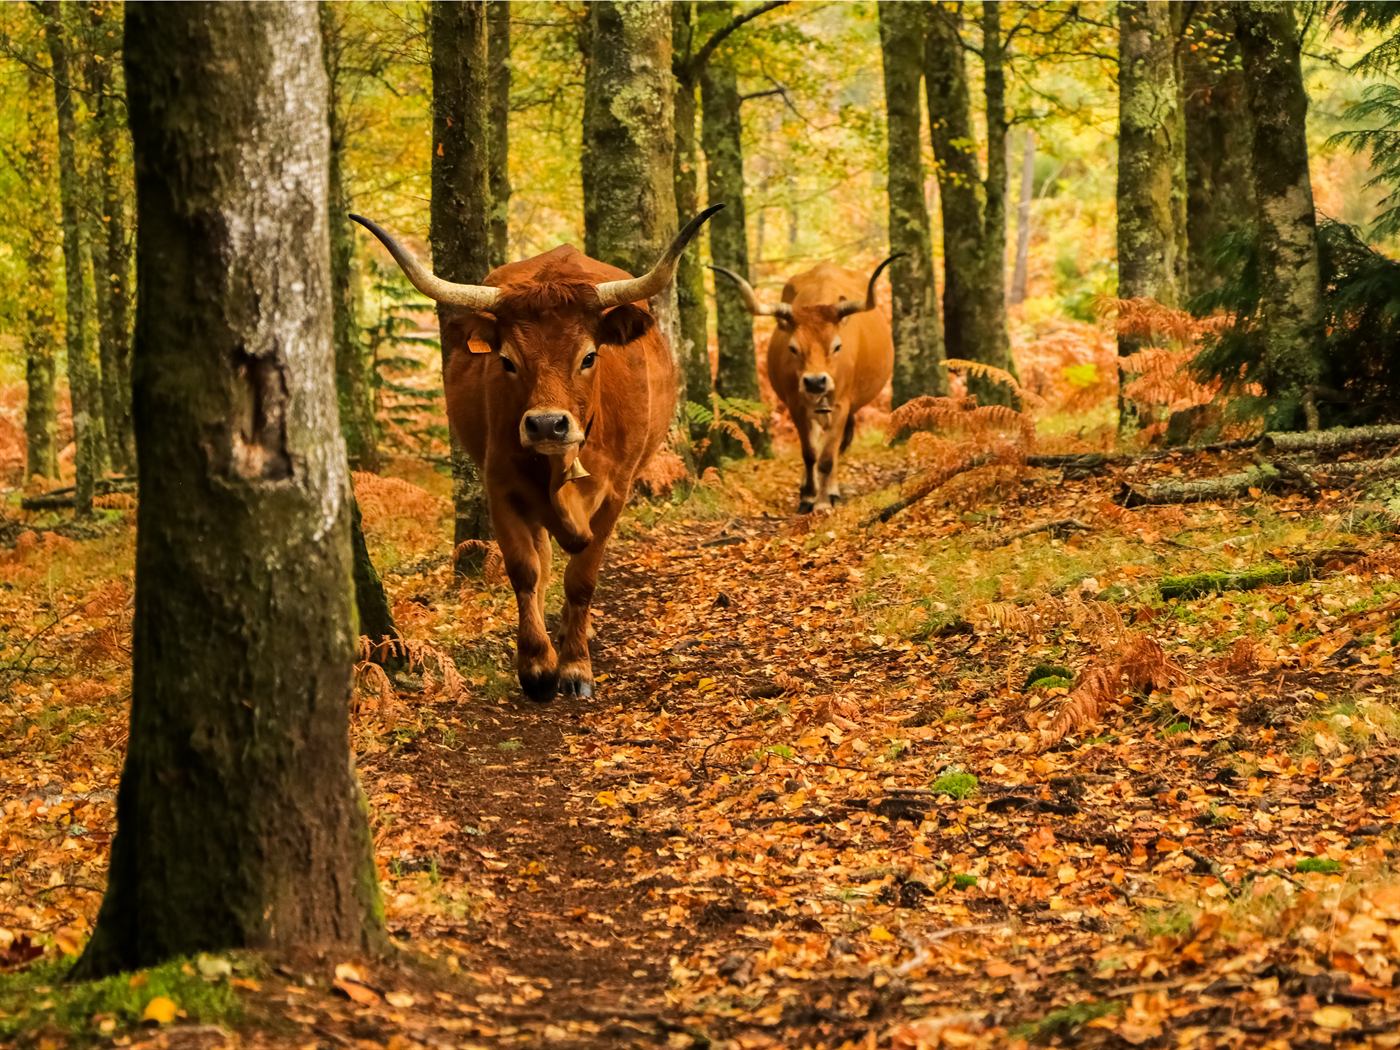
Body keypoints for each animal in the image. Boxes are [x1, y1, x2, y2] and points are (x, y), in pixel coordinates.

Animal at [352, 206, 722, 702]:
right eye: (507, 360)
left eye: (589, 356)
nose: (547, 424)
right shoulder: (501, 487)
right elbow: (527, 570)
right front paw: (537, 666)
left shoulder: (617, 492)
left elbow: (582, 579)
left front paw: (576, 666)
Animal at [711, 256, 899, 513]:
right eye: (793, 348)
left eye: (837, 346)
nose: (815, 381)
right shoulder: (796, 405)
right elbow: (810, 453)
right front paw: (808, 496)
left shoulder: (841, 405)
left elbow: (827, 457)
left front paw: (822, 502)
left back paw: (831, 491)